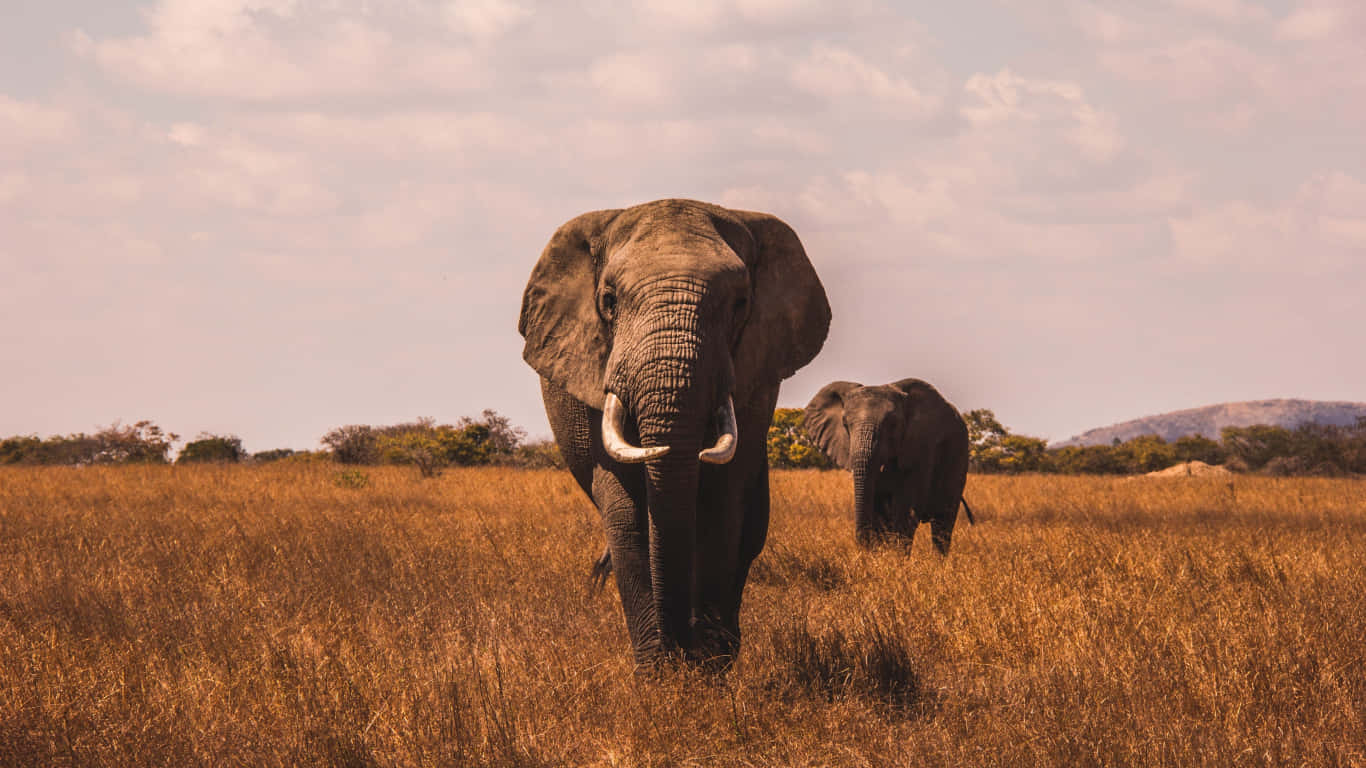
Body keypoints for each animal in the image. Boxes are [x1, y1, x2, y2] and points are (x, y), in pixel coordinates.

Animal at [513, 196, 825, 664]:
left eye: (740, 303)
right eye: (609, 300)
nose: (684, 647)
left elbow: (722, 503)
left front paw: (710, 665)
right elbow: (626, 512)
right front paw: (659, 669)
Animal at [803, 377, 978, 549]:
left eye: (893, 424)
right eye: (845, 424)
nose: (863, 546)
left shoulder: (922, 447)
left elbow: (906, 509)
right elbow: (880, 511)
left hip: (959, 457)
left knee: (943, 523)